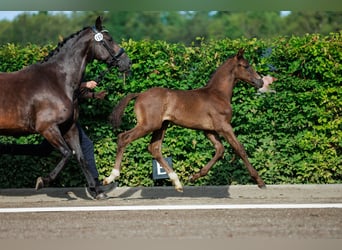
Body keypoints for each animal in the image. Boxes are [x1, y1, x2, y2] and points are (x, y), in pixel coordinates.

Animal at [0, 16, 131, 197]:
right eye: (109, 39)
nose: (127, 62)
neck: (57, 81)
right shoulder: (48, 128)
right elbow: (68, 153)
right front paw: (43, 181)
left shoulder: (70, 127)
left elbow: (81, 156)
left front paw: (96, 191)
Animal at [104, 48, 268, 191]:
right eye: (246, 66)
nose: (260, 82)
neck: (218, 94)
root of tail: (139, 94)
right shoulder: (224, 126)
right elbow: (240, 149)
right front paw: (260, 181)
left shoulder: (209, 130)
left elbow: (220, 150)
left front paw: (194, 176)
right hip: (148, 125)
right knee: (123, 138)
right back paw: (111, 177)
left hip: (161, 126)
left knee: (154, 148)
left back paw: (177, 182)